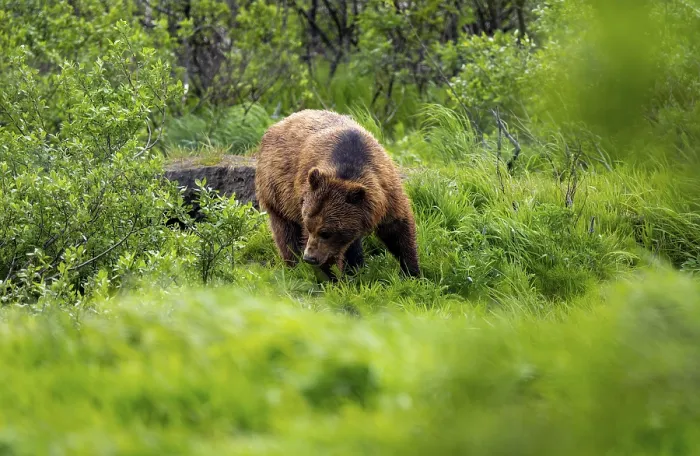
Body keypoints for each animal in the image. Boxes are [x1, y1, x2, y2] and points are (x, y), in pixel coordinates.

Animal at [254, 109, 420, 281]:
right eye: (309, 226)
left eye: (326, 232)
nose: (309, 257)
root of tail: (278, 123)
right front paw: (333, 278)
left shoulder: (386, 191)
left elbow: (397, 230)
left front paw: (412, 271)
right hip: (277, 192)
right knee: (286, 233)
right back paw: (294, 265)